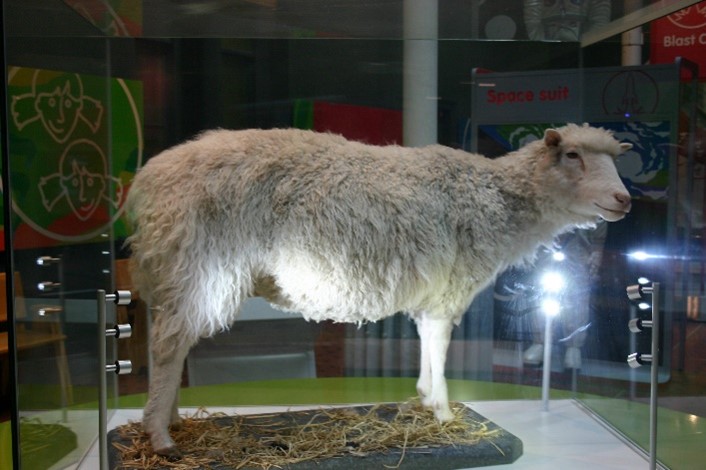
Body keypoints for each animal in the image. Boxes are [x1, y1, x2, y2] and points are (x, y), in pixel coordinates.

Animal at [126, 124, 632, 456]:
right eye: (572, 156)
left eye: (614, 160)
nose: (625, 199)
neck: (495, 198)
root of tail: (149, 178)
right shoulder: (450, 285)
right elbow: (440, 344)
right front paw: (444, 412)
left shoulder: (435, 291)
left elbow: (428, 342)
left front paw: (426, 399)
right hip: (199, 264)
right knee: (168, 347)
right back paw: (160, 435)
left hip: (179, 273)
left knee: (171, 344)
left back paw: (170, 420)